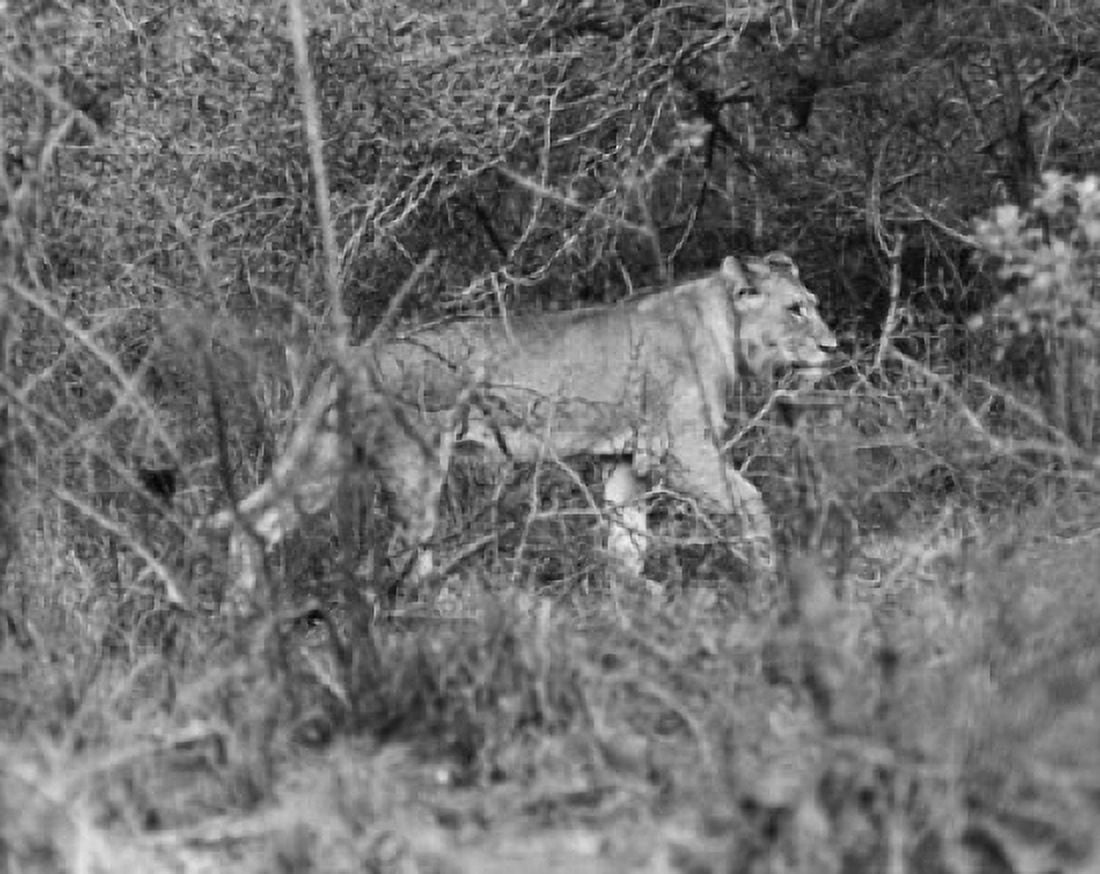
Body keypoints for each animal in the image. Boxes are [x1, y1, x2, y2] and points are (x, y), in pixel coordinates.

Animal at [209, 251, 837, 598]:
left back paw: (243, 619)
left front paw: (638, 596)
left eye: (813, 302)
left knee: (256, 523)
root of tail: (358, 356)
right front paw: (772, 580)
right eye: (796, 309)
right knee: (400, 557)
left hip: (329, 456)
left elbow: (626, 537)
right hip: (415, 467)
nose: (832, 346)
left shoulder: (626, 458)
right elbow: (751, 502)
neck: (723, 326)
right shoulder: (682, 449)